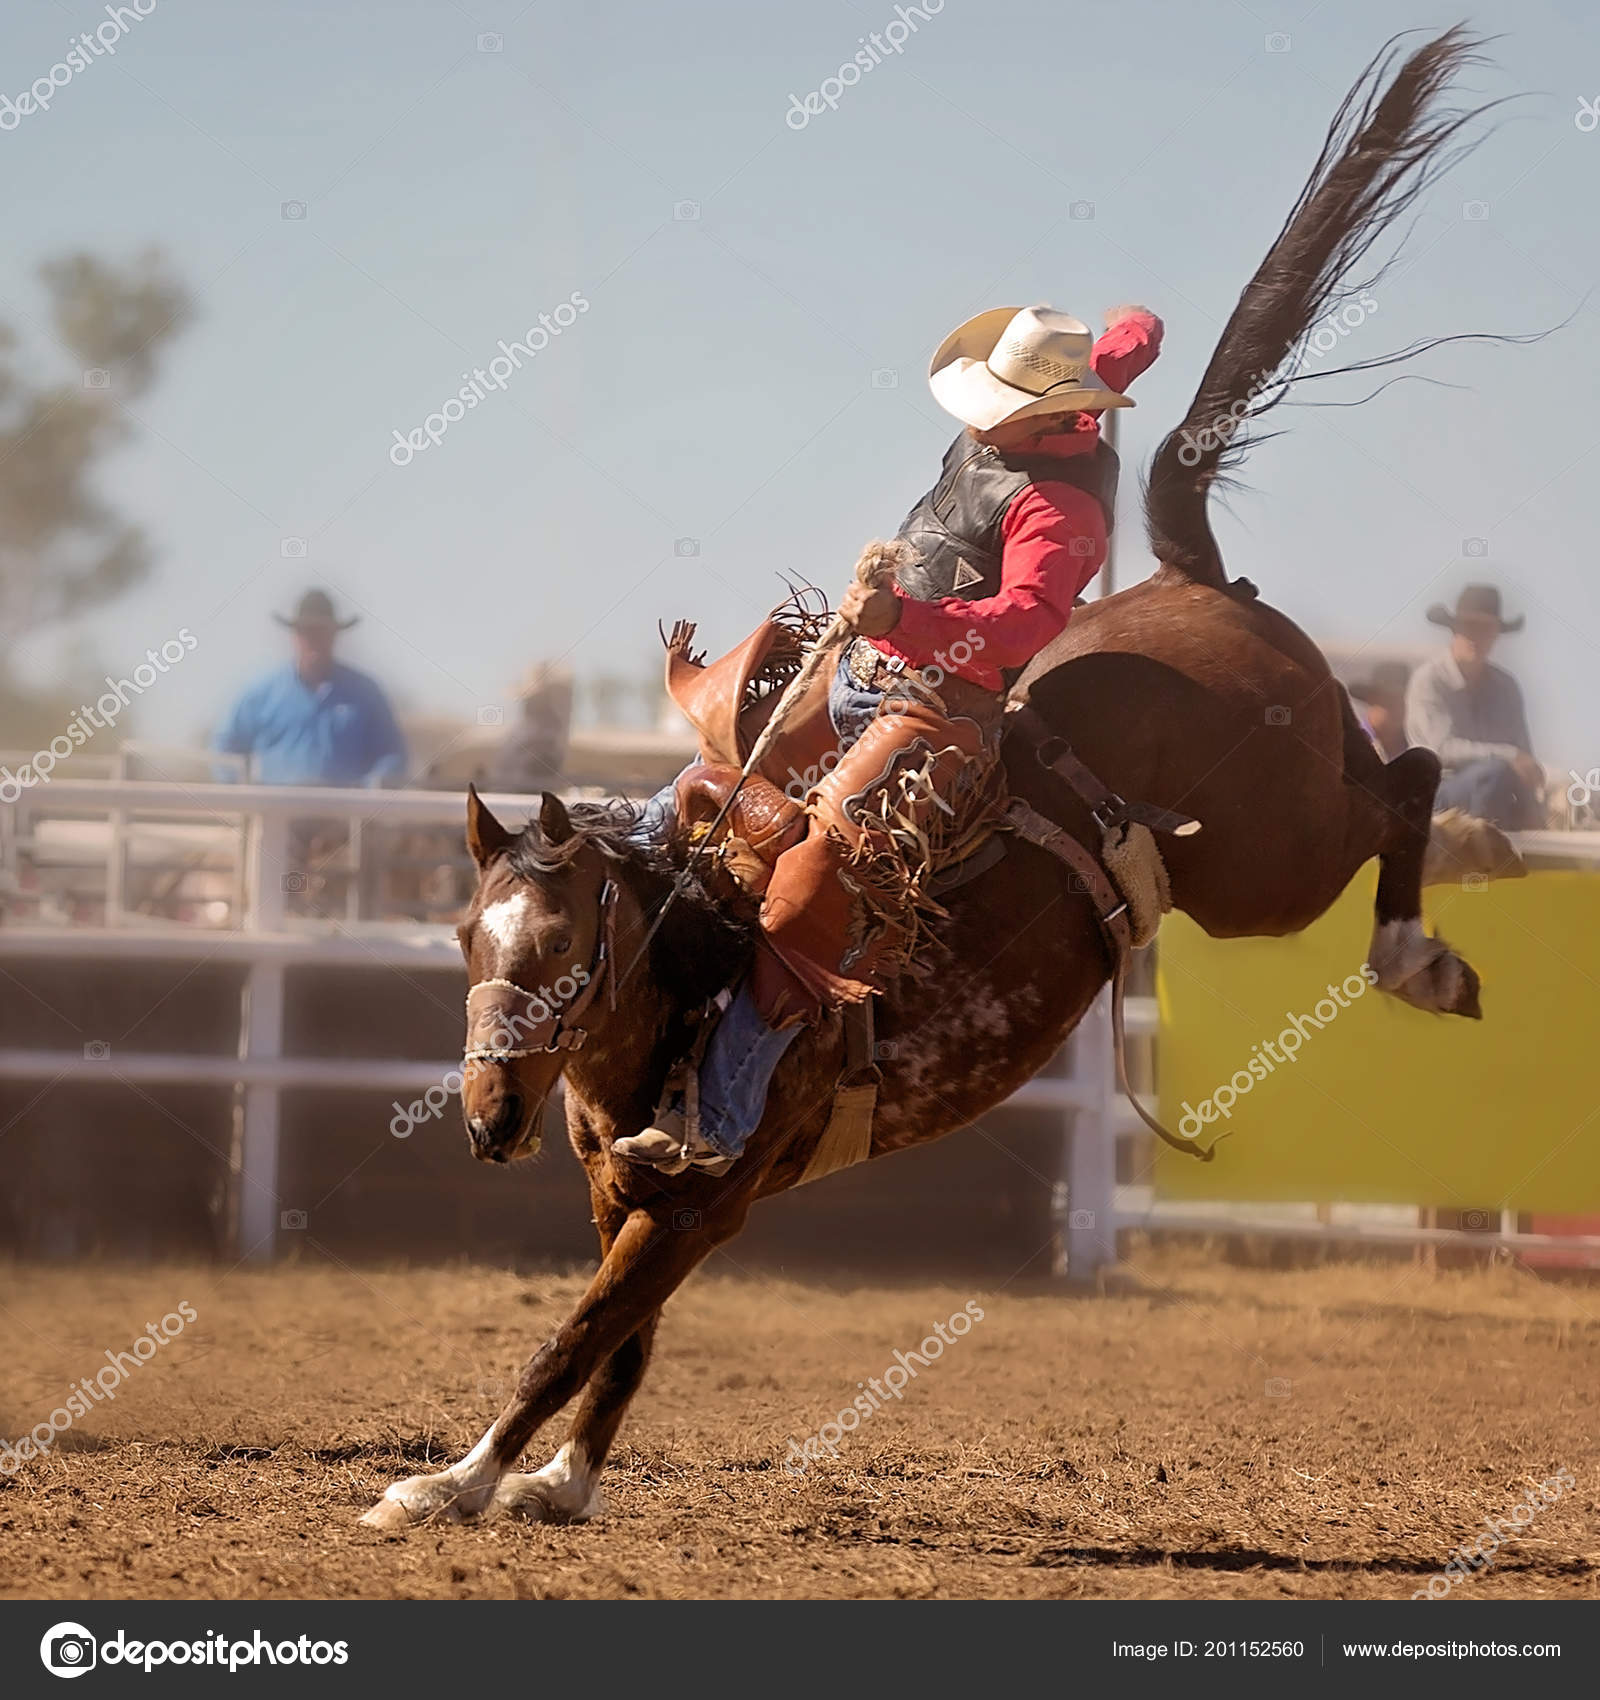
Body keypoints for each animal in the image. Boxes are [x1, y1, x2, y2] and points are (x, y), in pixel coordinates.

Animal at [362, 29, 1509, 1530]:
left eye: (557, 942)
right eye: (462, 936)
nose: (488, 1115)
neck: (692, 966)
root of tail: (1194, 579)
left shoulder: (696, 1200)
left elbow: (574, 1334)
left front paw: (453, 1480)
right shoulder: (631, 1196)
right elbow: (624, 1341)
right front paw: (561, 1480)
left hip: (1275, 858)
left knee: (1409, 783)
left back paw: (1429, 943)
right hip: (1269, 839)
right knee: (1396, 770)